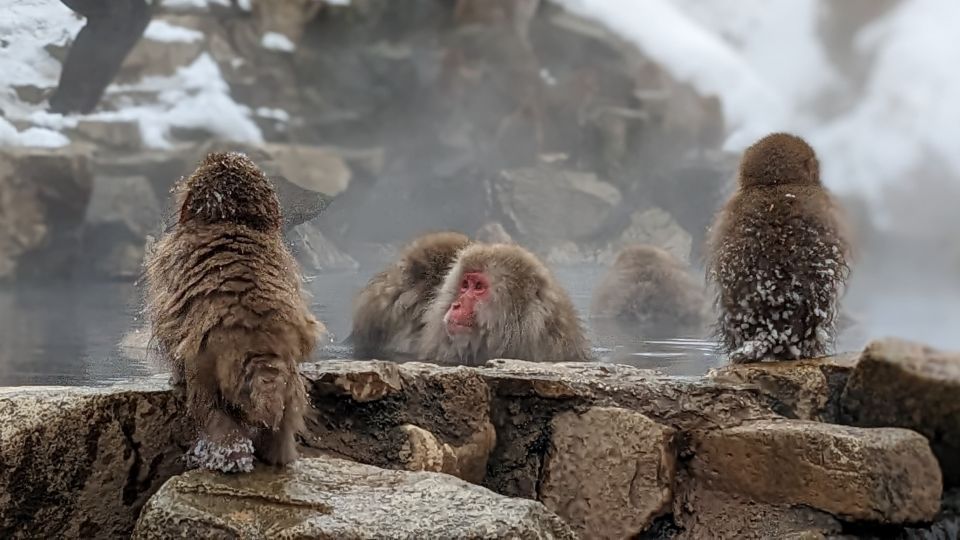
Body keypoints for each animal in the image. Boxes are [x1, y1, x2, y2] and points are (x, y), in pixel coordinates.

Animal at [145, 152, 322, 473]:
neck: (232, 220)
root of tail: (258, 342)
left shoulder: (166, 264)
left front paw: (174, 377)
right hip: (290, 381)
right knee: (284, 418)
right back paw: (278, 455)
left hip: (208, 369)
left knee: (210, 410)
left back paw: (227, 455)